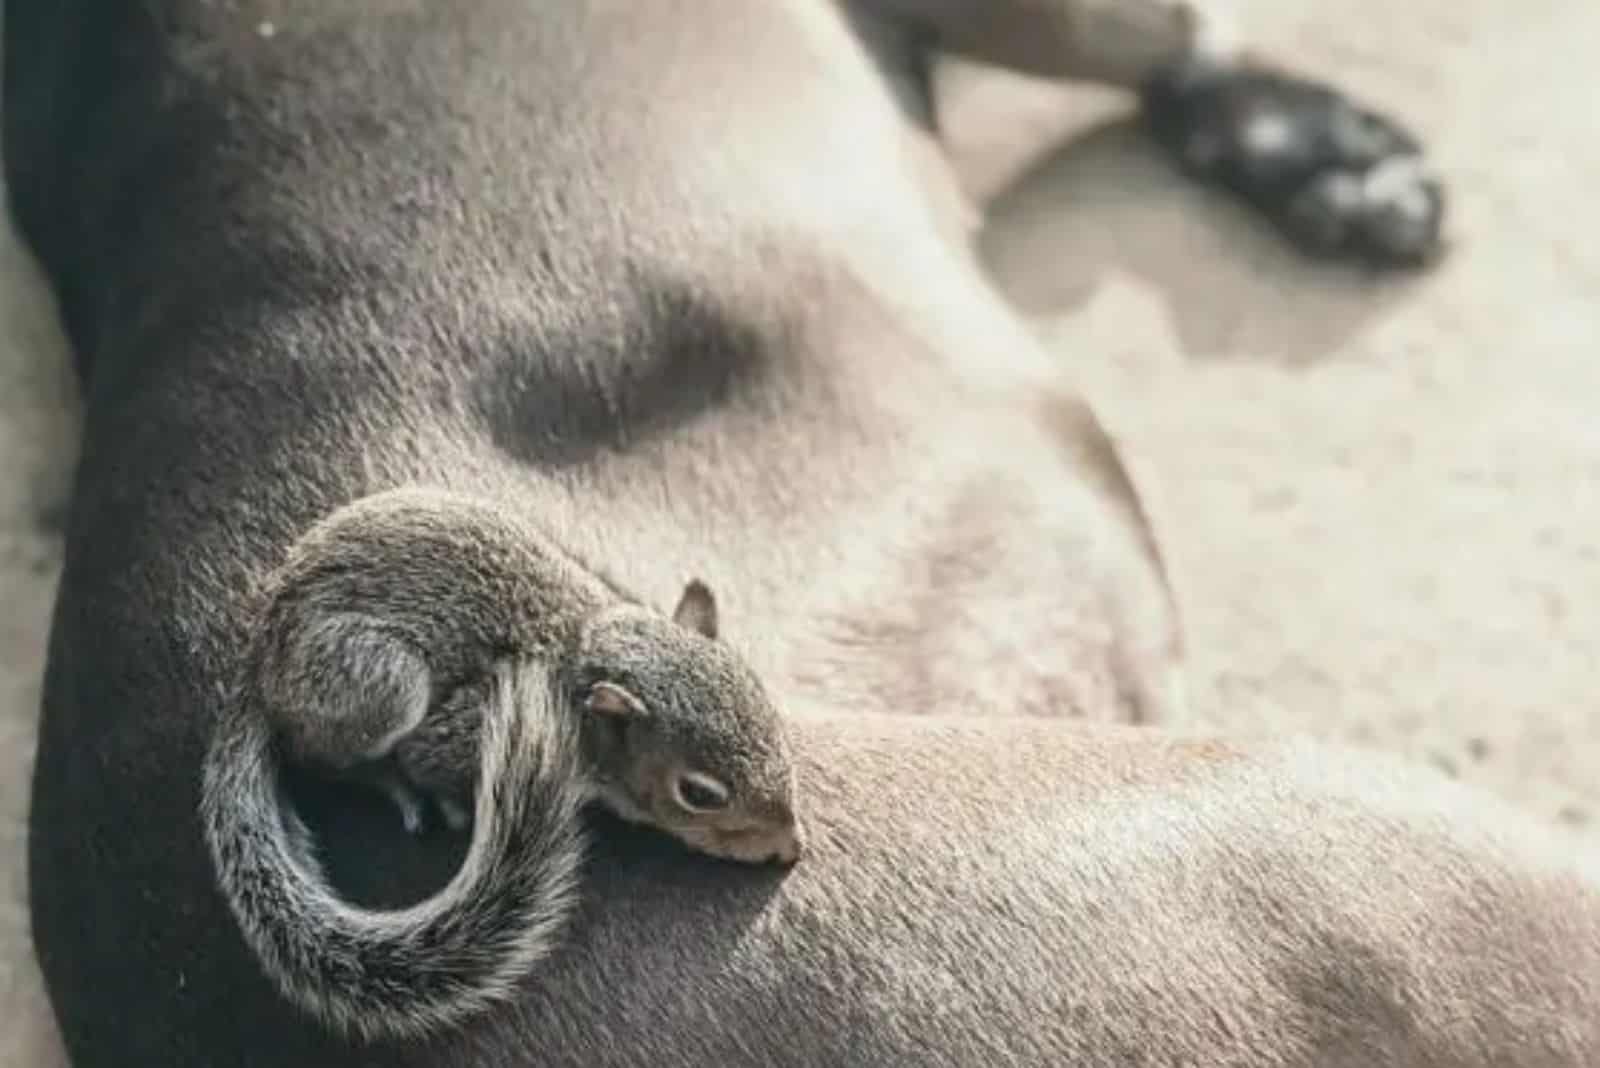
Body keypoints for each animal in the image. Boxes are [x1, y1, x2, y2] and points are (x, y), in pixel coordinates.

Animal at [200, 489, 800, 1042]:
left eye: (766, 704)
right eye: (699, 794)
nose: (792, 847)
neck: (585, 657)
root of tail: (259, 661)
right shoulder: (472, 722)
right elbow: (427, 761)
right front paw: (441, 796)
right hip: (380, 681)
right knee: (323, 758)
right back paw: (391, 785)